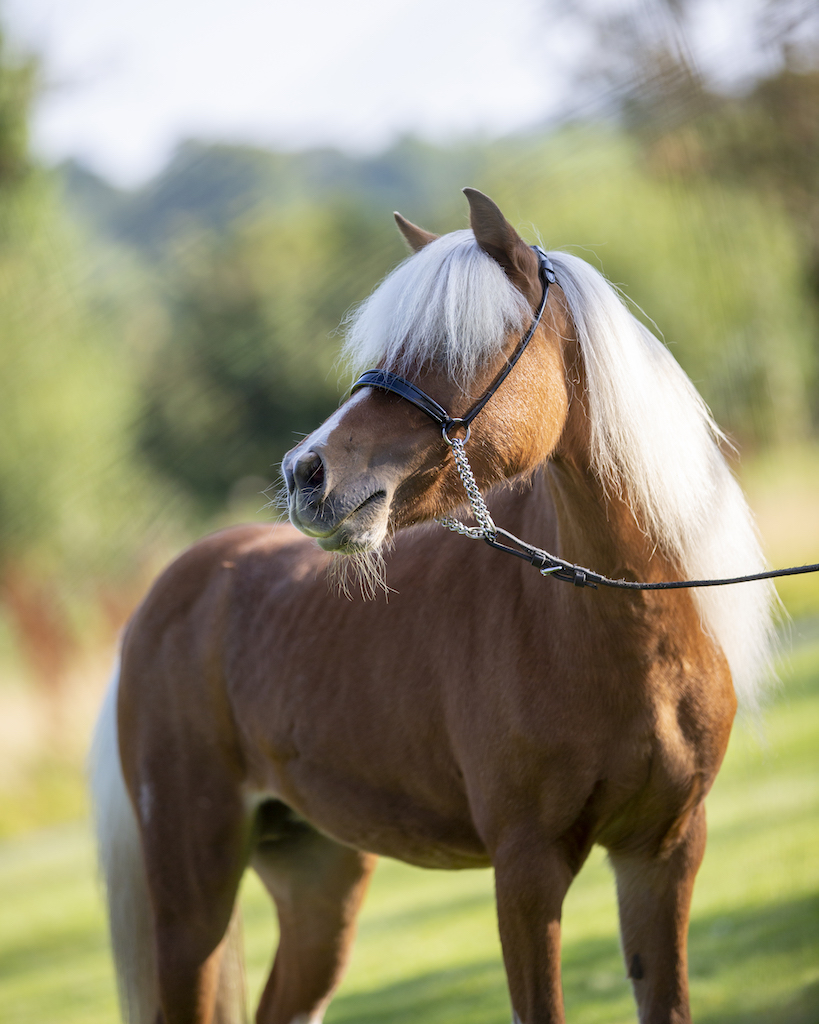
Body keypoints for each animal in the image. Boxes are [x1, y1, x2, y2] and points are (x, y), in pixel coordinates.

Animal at [91, 188, 777, 1024]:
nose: (305, 474)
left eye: (452, 347)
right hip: (192, 897)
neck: (620, 631)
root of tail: (162, 599)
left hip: (319, 886)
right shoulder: (526, 870)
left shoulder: (663, 853)